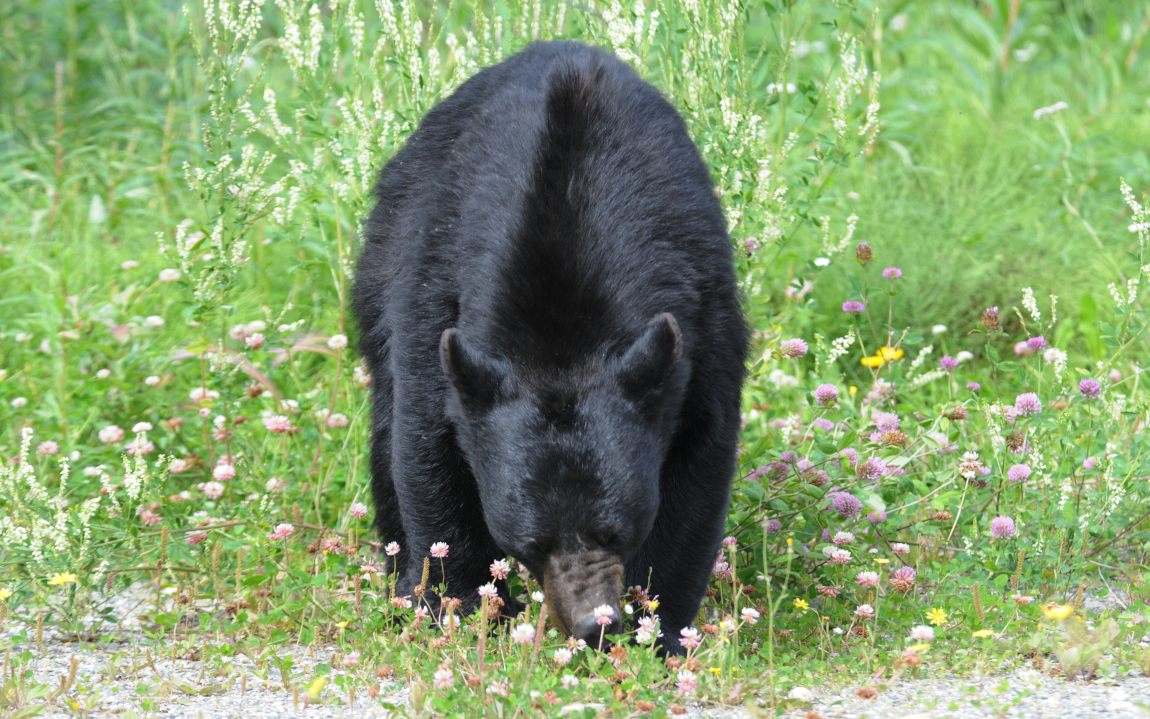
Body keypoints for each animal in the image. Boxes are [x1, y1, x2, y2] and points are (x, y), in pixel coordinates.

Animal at [351, 41, 745, 653]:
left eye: (615, 530)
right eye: (531, 542)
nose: (593, 625)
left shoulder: (700, 312)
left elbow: (699, 459)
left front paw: (662, 631)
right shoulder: (437, 288)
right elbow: (425, 440)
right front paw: (461, 610)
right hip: (384, 257)